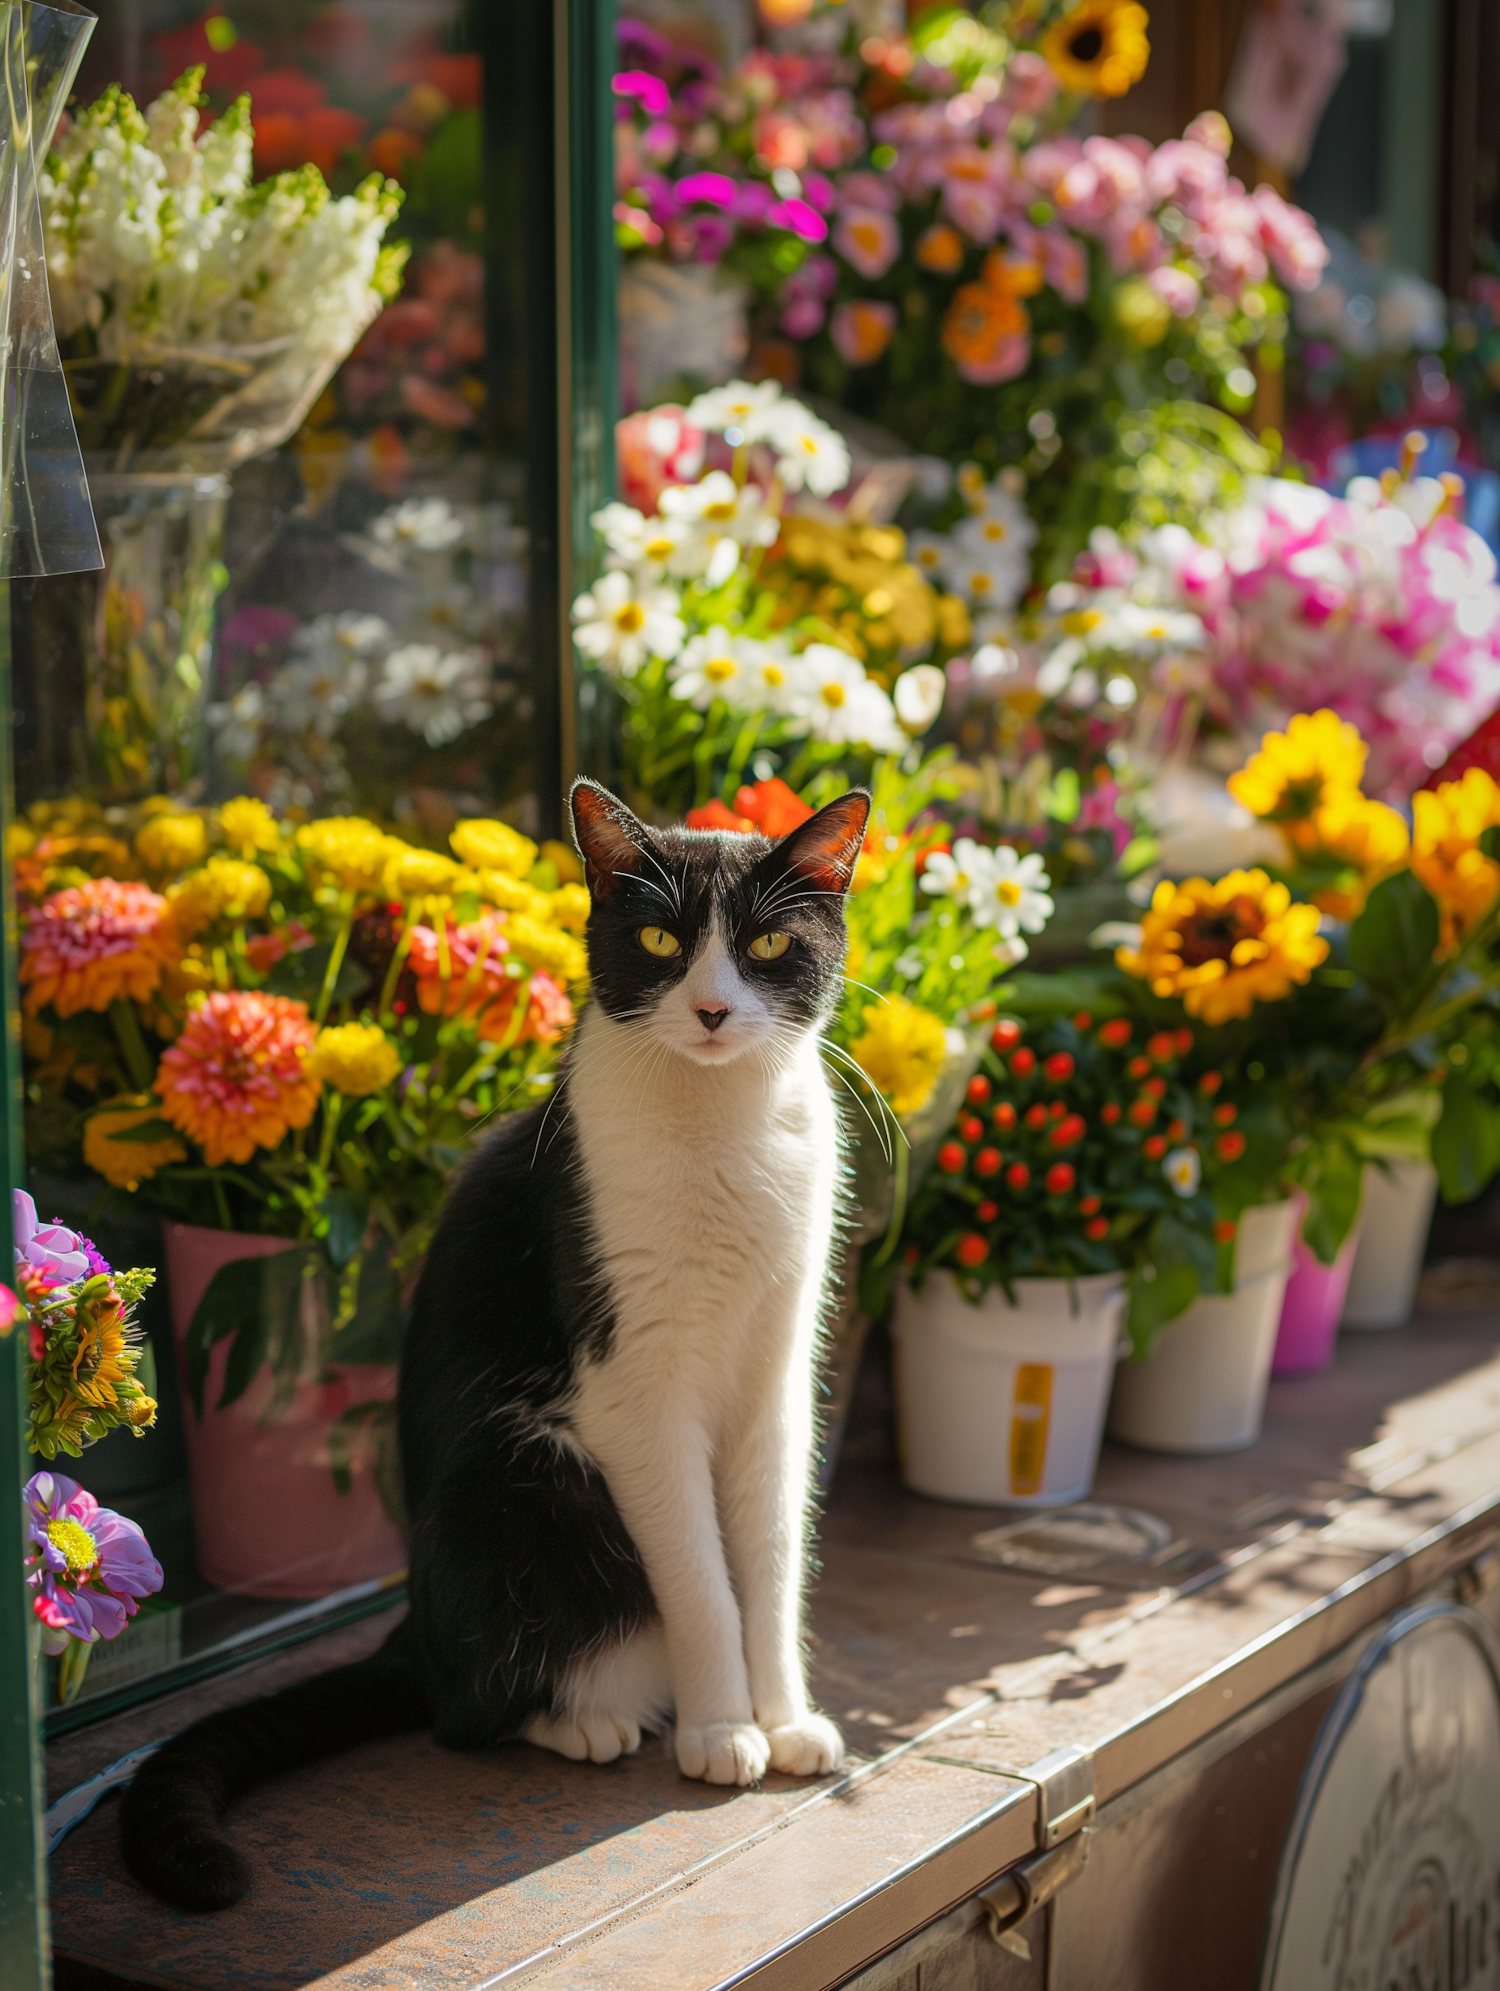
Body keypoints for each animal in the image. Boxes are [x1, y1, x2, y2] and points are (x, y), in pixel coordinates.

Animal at [123, 780, 872, 1911]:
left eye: (770, 942)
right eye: (660, 939)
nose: (710, 1010)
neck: (720, 1122)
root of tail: (411, 1629)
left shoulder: (778, 1367)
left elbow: (773, 1556)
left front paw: (784, 1719)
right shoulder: (631, 1382)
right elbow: (700, 1575)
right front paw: (720, 1726)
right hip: (517, 1475)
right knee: (463, 1713)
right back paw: (587, 1719)